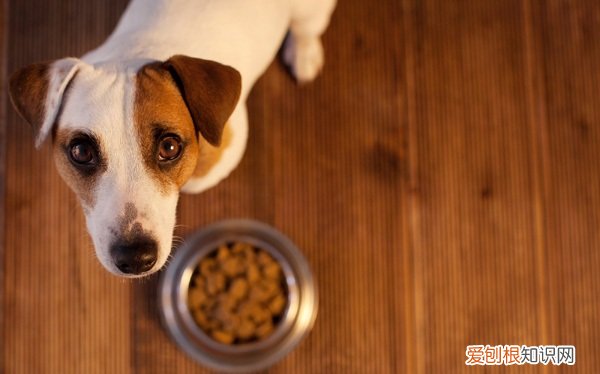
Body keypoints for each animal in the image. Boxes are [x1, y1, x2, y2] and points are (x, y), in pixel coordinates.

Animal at [9, 0, 336, 276]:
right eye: (81, 152)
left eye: (169, 147)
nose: (135, 258)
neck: (134, 52)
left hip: (310, 11)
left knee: (306, 28)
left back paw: (304, 53)